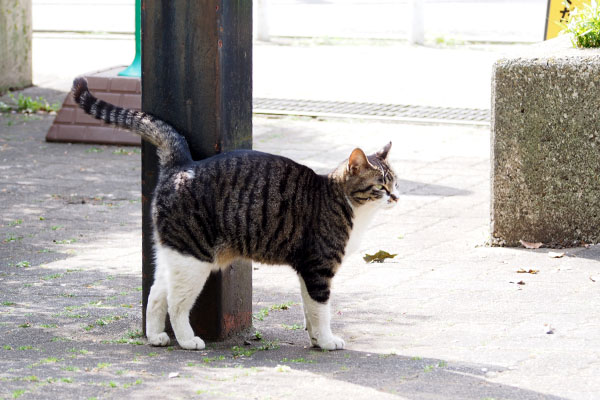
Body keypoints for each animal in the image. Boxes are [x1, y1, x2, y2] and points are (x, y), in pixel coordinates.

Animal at [71, 77, 398, 350]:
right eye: (380, 186)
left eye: (395, 181)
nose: (396, 196)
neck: (344, 203)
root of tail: (182, 164)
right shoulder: (318, 268)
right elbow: (321, 310)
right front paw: (328, 341)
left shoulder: (307, 271)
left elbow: (309, 310)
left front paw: (317, 340)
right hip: (194, 259)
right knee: (176, 303)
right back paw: (188, 341)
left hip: (174, 254)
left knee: (155, 295)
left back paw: (155, 337)